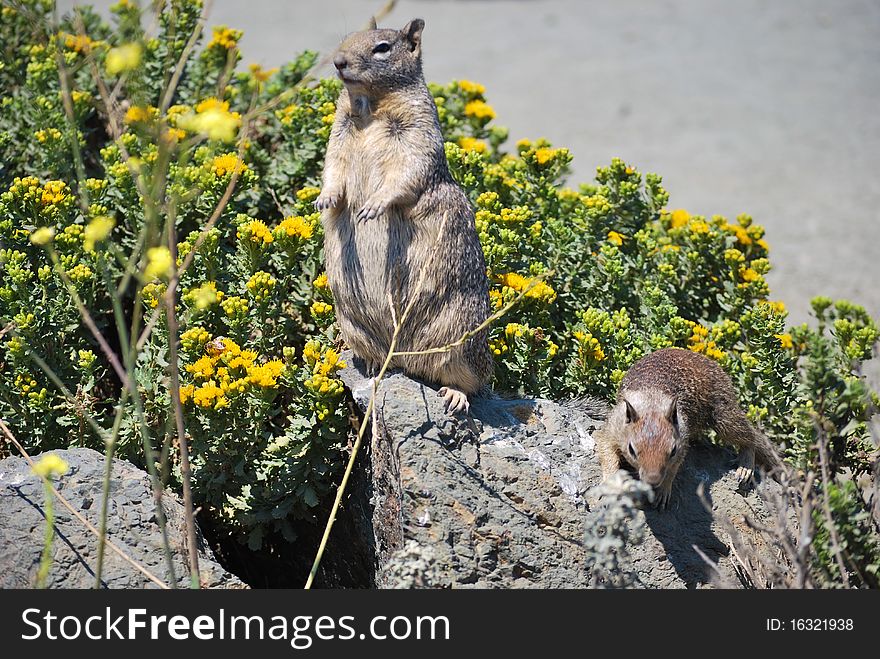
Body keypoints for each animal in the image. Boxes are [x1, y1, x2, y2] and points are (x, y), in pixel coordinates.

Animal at [316, 18, 496, 416]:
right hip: (351, 323)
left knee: (474, 384)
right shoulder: (338, 134)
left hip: (461, 338)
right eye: (348, 38)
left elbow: (406, 173)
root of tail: (405, 358)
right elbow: (333, 168)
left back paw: (455, 395)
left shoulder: (417, 132)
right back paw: (371, 364)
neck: (368, 105)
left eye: (382, 47)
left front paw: (373, 206)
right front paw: (326, 199)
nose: (338, 61)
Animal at [596, 350, 780, 510]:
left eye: (672, 451)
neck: (651, 404)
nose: (653, 480)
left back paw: (745, 466)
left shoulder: (682, 441)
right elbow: (606, 450)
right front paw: (611, 485)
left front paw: (663, 490)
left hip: (723, 414)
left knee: (749, 436)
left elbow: (674, 468)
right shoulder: (613, 427)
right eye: (632, 450)